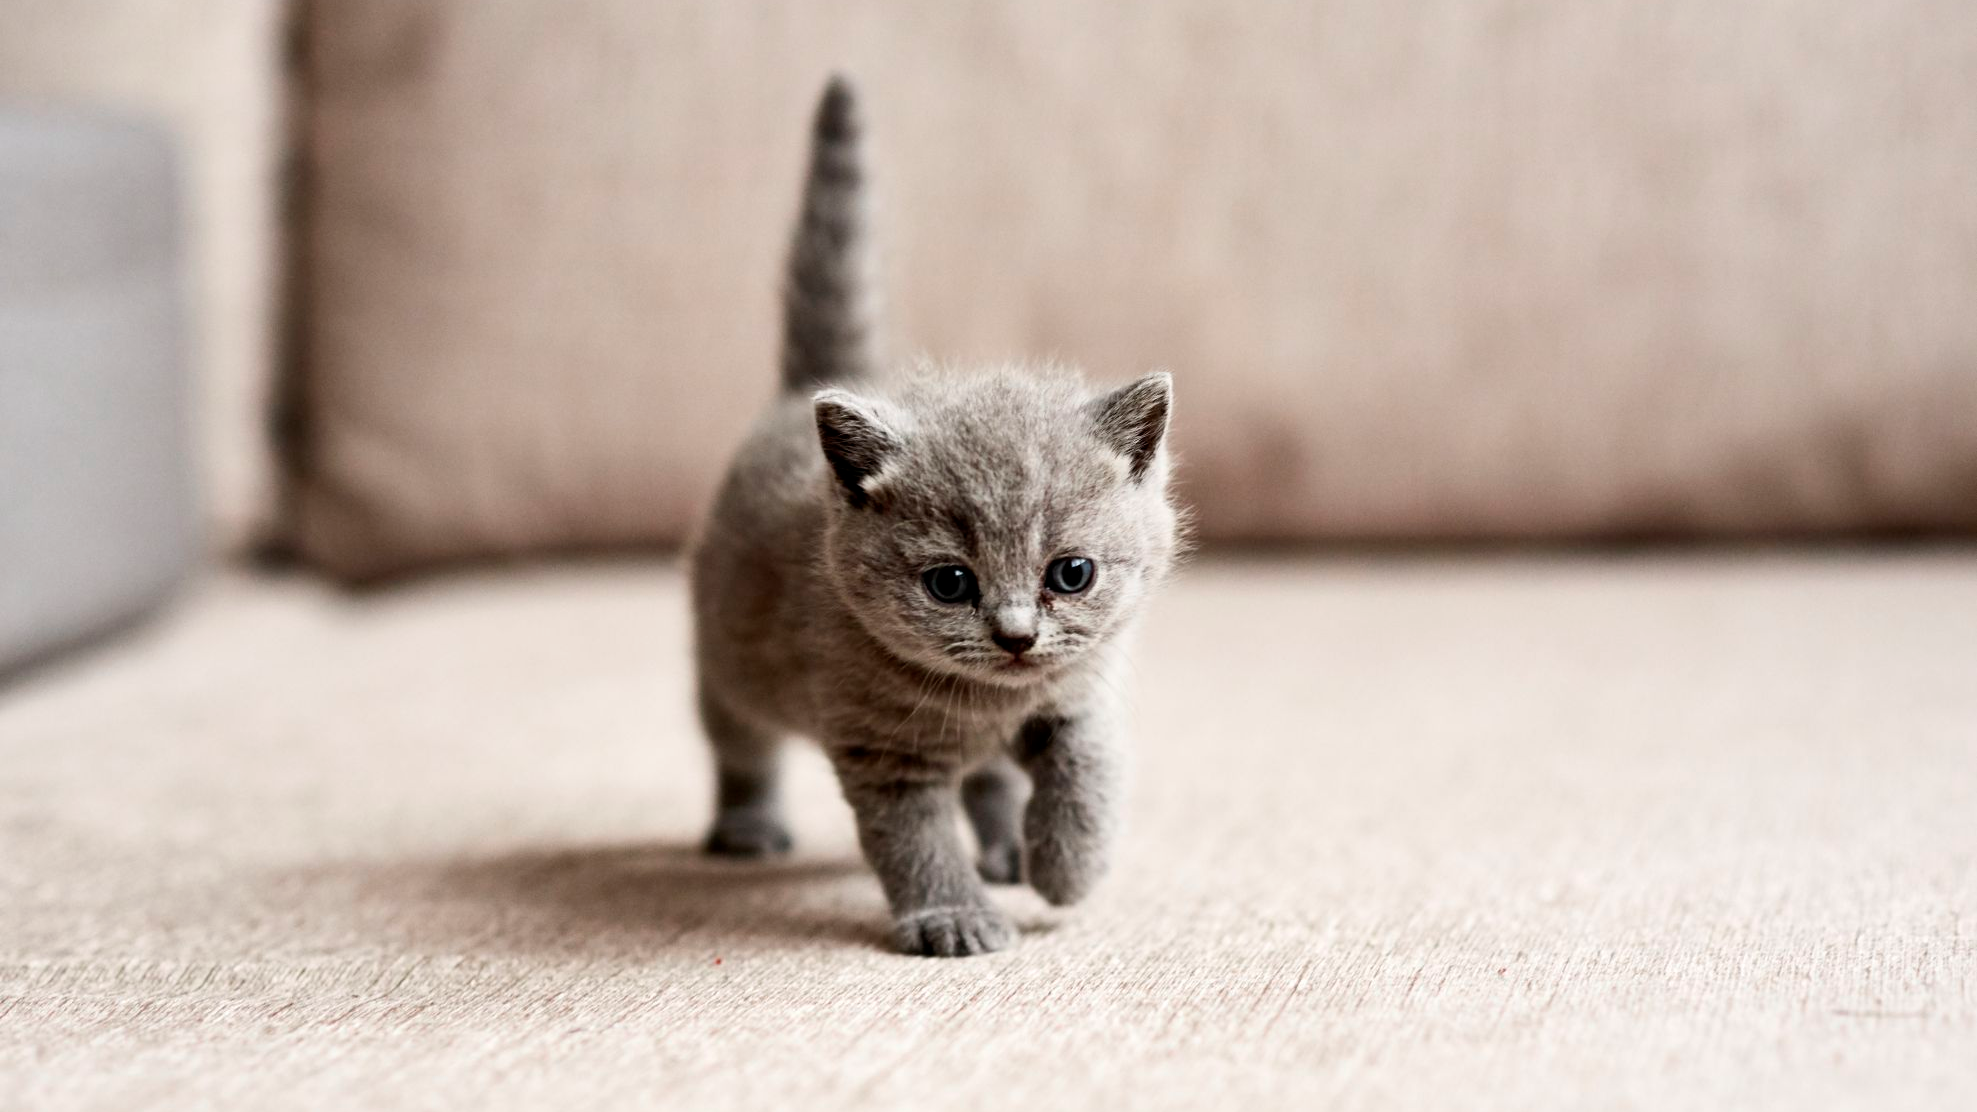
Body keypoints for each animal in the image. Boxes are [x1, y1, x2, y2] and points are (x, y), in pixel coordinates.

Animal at [687, 78, 1178, 957]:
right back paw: (746, 827)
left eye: (1072, 573)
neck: (988, 704)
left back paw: (1011, 849)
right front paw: (952, 918)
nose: (1016, 635)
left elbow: (1087, 770)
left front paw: (1065, 869)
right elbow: (914, 840)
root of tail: (811, 386)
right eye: (949, 583)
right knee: (739, 744)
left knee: (988, 778)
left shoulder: (1078, 692)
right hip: (727, 658)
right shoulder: (882, 749)